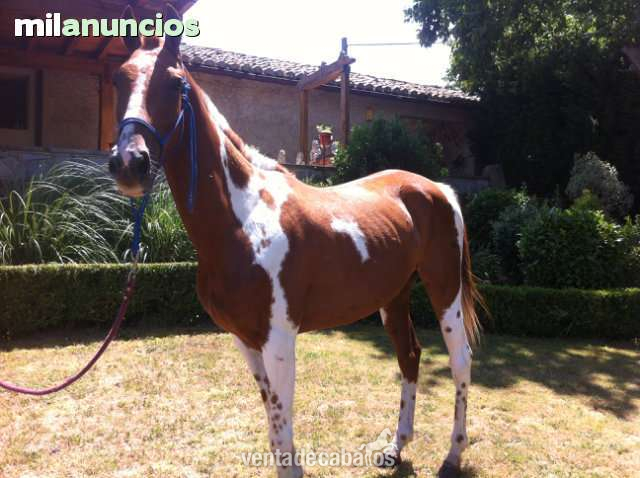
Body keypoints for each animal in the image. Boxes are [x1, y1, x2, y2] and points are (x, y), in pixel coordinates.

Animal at [108, 5, 482, 478]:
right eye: (118, 80)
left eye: (174, 84)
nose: (129, 162)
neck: (243, 221)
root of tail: (438, 188)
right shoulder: (245, 340)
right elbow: (274, 426)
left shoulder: (280, 342)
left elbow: (283, 431)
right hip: (394, 297)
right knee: (410, 356)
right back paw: (396, 448)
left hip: (444, 288)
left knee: (460, 359)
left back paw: (453, 454)